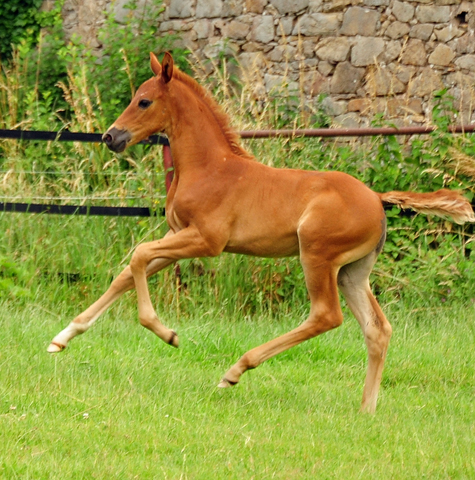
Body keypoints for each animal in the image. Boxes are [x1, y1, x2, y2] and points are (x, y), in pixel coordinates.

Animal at [47, 52, 472, 412]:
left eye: (144, 102)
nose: (110, 137)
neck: (209, 167)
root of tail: (376, 198)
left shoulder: (206, 241)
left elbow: (137, 255)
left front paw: (167, 333)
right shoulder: (176, 236)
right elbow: (127, 272)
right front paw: (62, 337)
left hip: (317, 256)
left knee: (326, 316)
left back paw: (235, 371)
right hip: (352, 271)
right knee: (377, 329)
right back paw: (366, 408)